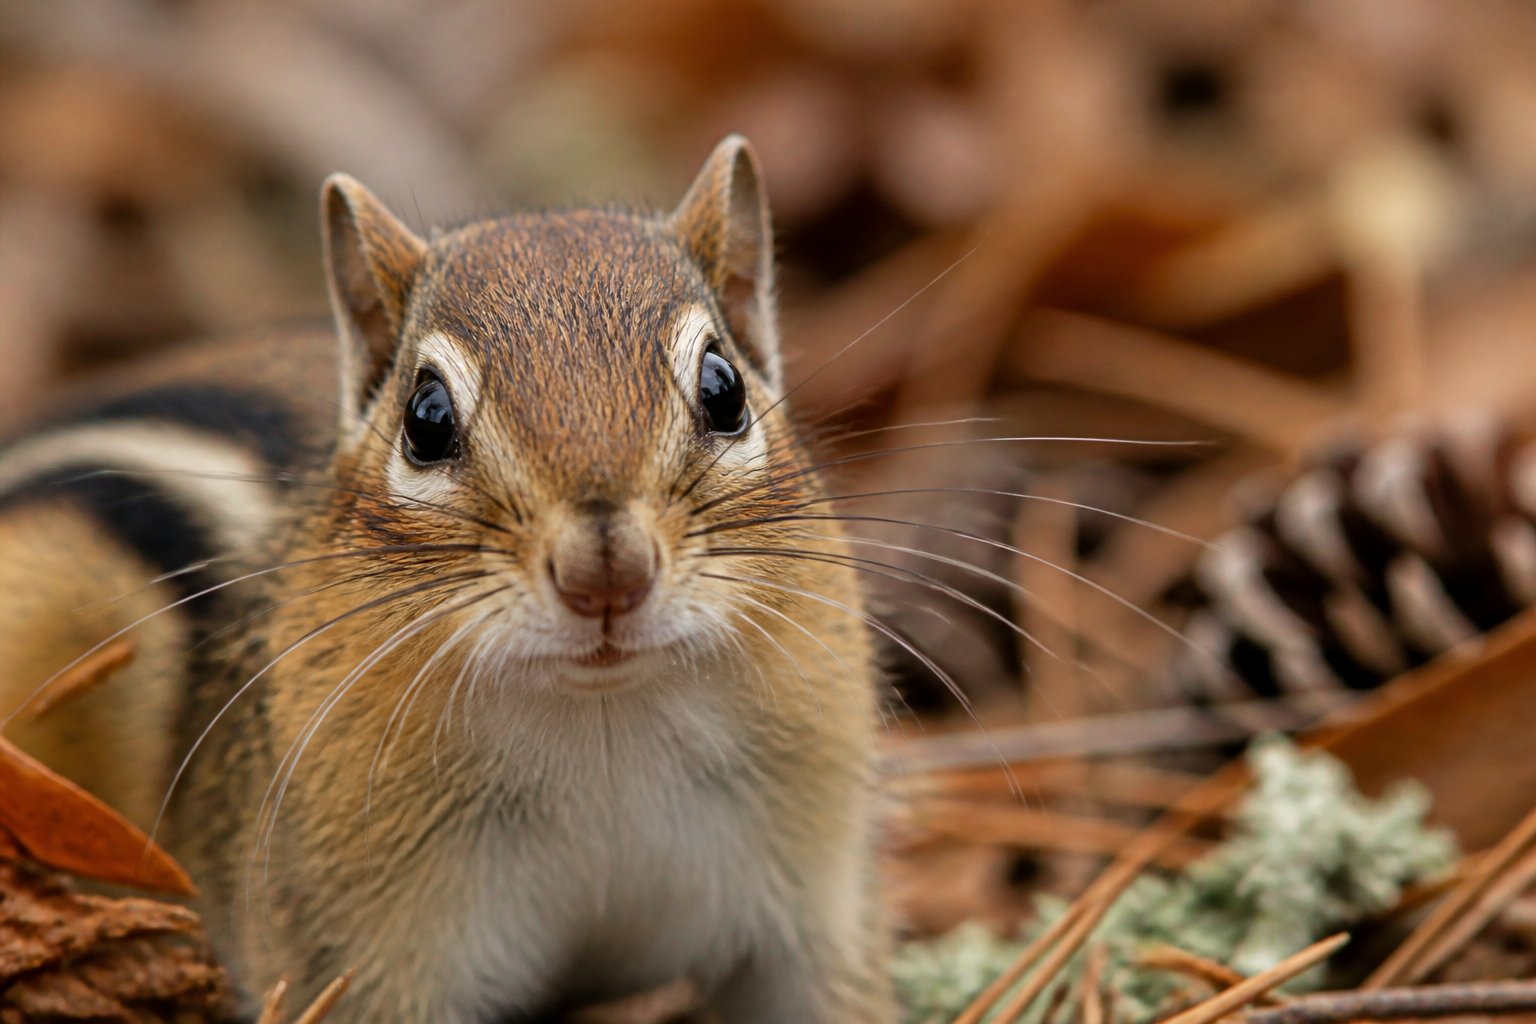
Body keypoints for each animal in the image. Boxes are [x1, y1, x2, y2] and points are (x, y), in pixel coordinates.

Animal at [0, 136, 896, 1023]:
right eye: (426, 420)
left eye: (724, 388)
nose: (606, 574)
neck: (604, 731)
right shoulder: (359, 962)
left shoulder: (810, 907)